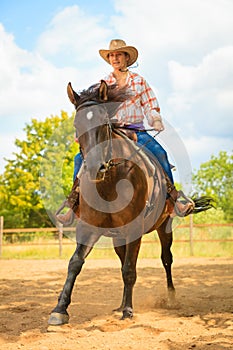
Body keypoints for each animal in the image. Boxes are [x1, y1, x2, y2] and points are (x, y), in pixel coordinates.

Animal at [47, 80, 215, 326]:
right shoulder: (88, 227)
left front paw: (128, 310)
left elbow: (130, 269)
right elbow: (75, 263)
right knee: (122, 260)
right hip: (118, 237)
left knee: (166, 259)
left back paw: (170, 298)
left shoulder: (134, 229)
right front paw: (60, 309)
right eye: (77, 124)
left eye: (104, 122)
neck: (110, 184)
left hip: (165, 227)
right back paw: (119, 304)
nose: (96, 167)